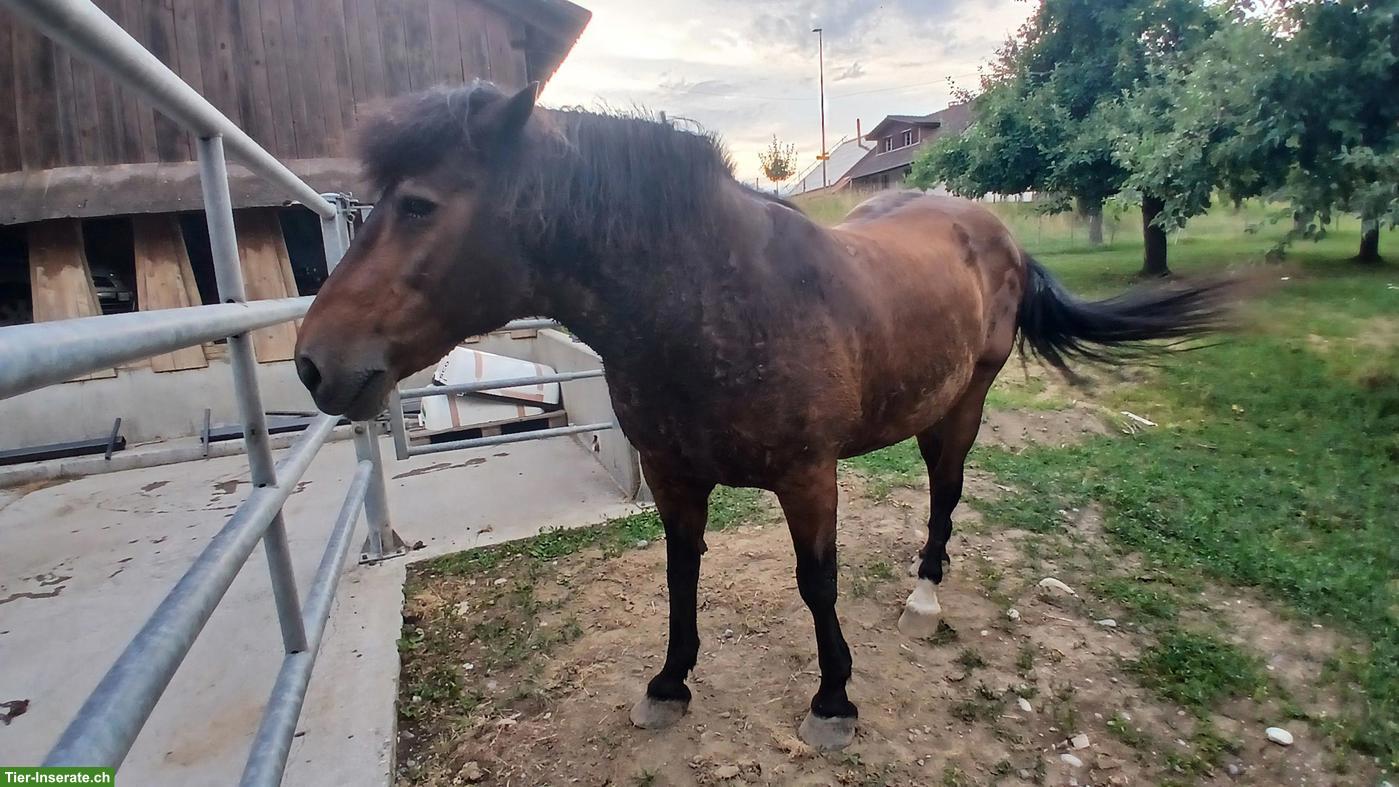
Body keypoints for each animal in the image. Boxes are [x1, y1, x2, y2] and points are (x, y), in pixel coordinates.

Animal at [294, 82, 1236, 750]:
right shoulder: (673, 475)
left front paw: (833, 698)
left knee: (946, 491)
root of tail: (991, 229)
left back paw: (925, 592)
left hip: (963, 404)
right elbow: (679, 576)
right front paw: (668, 682)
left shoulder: (806, 476)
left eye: (418, 204)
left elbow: (815, 582)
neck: (711, 298)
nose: (313, 362)